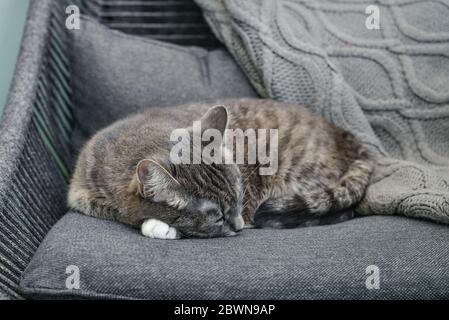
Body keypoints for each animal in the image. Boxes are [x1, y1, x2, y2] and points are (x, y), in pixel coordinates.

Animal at [68, 99, 372, 239]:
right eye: (216, 216)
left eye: (240, 199)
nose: (240, 226)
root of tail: (345, 135)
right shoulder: (81, 195)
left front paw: (160, 227)